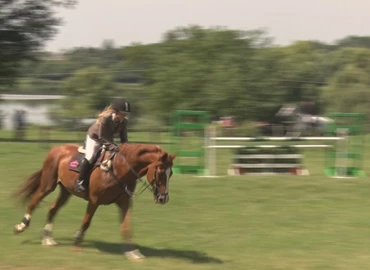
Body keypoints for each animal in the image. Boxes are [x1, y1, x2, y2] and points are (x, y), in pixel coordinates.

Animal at [12, 142, 177, 260]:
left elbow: (126, 226)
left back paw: (47, 239)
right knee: (34, 200)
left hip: (66, 190)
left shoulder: (124, 202)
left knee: (53, 208)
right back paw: (20, 226)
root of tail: (56, 149)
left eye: (171, 173)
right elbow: (86, 222)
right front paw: (77, 243)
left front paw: (133, 252)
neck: (119, 169)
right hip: (48, 184)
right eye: (161, 171)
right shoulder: (94, 200)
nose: (163, 198)